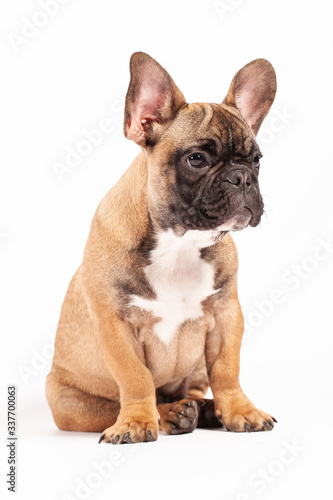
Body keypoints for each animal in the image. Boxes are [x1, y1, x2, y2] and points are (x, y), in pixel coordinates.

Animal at [45, 50, 276, 444]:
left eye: (256, 160)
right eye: (196, 159)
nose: (242, 177)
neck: (179, 242)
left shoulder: (226, 315)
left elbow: (227, 369)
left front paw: (239, 411)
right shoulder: (116, 325)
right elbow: (135, 377)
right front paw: (137, 422)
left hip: (195, 369)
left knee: (195, 387)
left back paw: (203, 409)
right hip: (64, 400)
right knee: (115, 405)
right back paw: (172, 414)